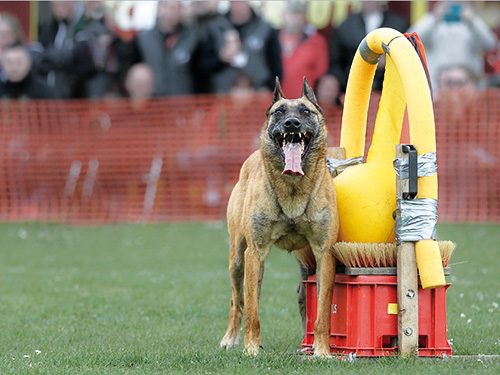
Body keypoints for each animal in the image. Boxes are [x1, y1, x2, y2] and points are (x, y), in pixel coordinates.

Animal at [220, 78, 340, 356]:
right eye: (279, 112)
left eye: (305, 111)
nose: (292, 124)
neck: (293, 187)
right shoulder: (255, 251)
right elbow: (252, 309)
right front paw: (251, 349)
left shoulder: (323, 253)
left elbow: (322, 310)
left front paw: (322, 351)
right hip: (238, 259)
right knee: (238, 299)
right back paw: (231, 339)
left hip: (305, 263)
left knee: (301, 294)